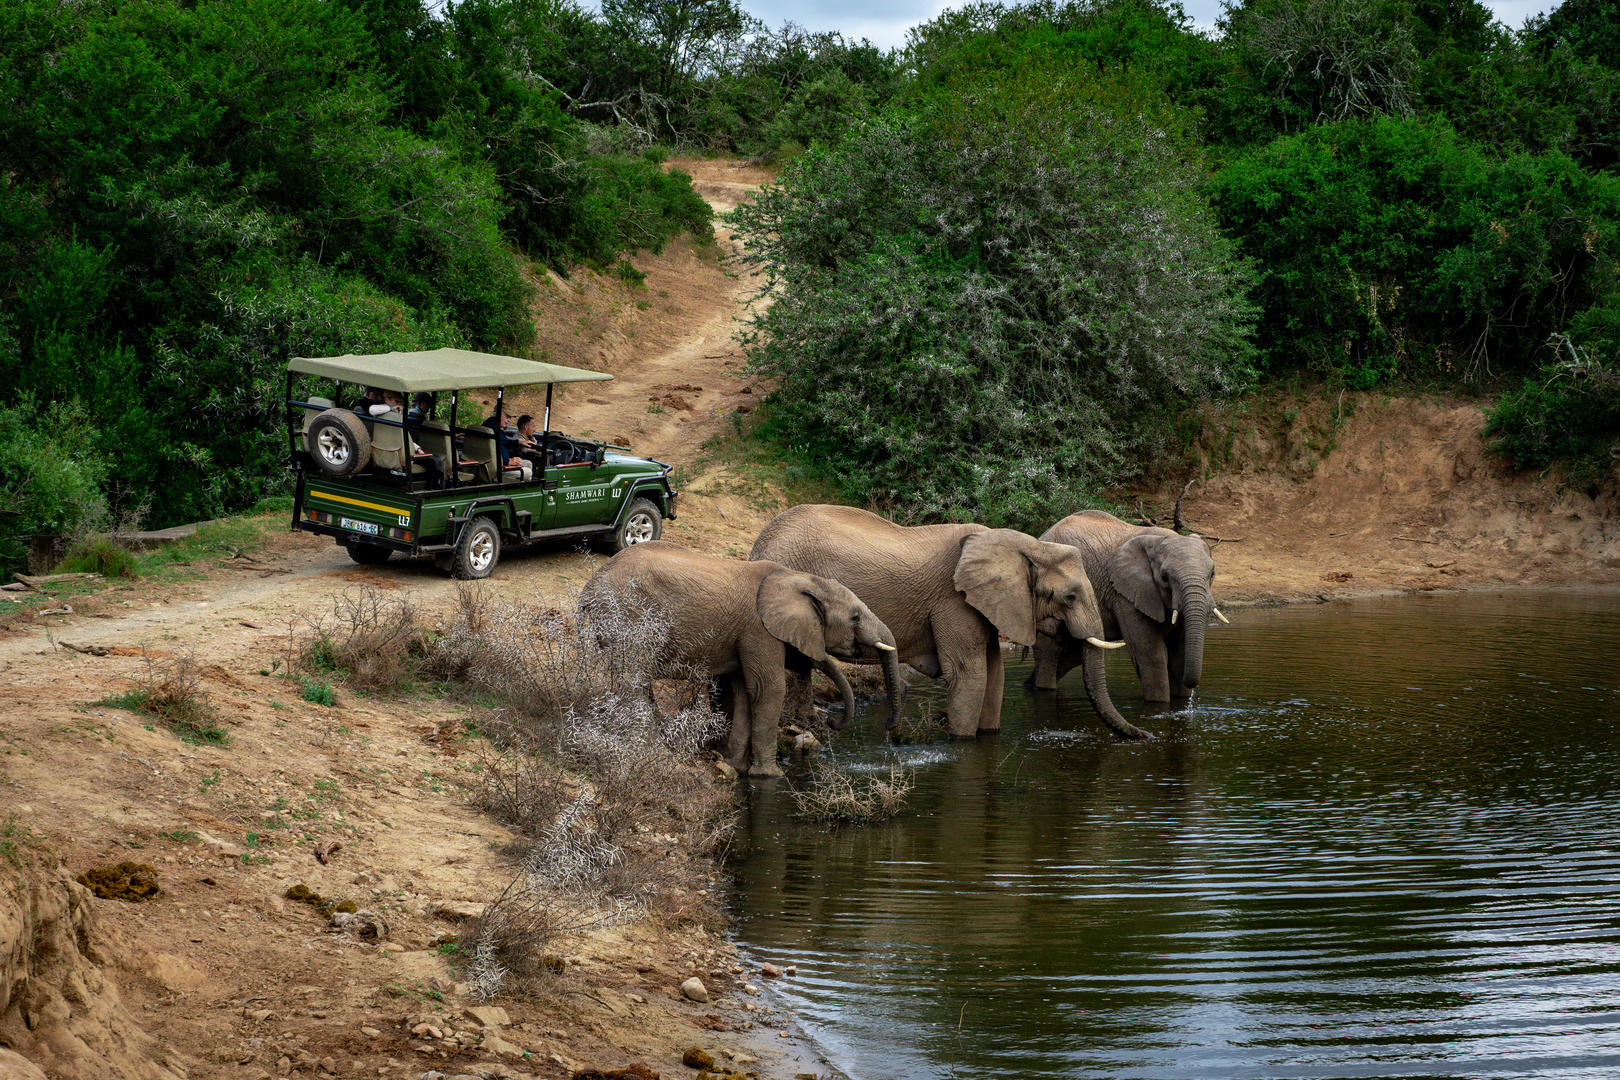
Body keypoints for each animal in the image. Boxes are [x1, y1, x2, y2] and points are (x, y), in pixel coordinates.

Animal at [578, 540, 901, 777]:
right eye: (855, 617)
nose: (833, 722)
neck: (800, 577)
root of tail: (590, 587)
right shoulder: (759, 629)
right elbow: (768, 689)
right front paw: (771, 776)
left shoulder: (740, 634)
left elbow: (742, 691)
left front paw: (736, 766)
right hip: (629, 616)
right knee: (632, 682)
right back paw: (654, 752)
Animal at [750, 505, 1152, 742]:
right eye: (1069, 597)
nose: (1147, 736)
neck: (1023, 545)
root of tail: (759, 542)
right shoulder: (954, 601)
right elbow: (969, 672)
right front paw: (961, 741)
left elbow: (994, 672)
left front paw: (988, 734)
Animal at [1028, 510, 1228, 702]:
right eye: (1165, 577)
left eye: (1212, 574)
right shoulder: (1125, 595)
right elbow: (1150, 654)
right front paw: (1160, 704)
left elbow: (1180, 653)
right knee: (1049, 652)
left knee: (1070, 654)